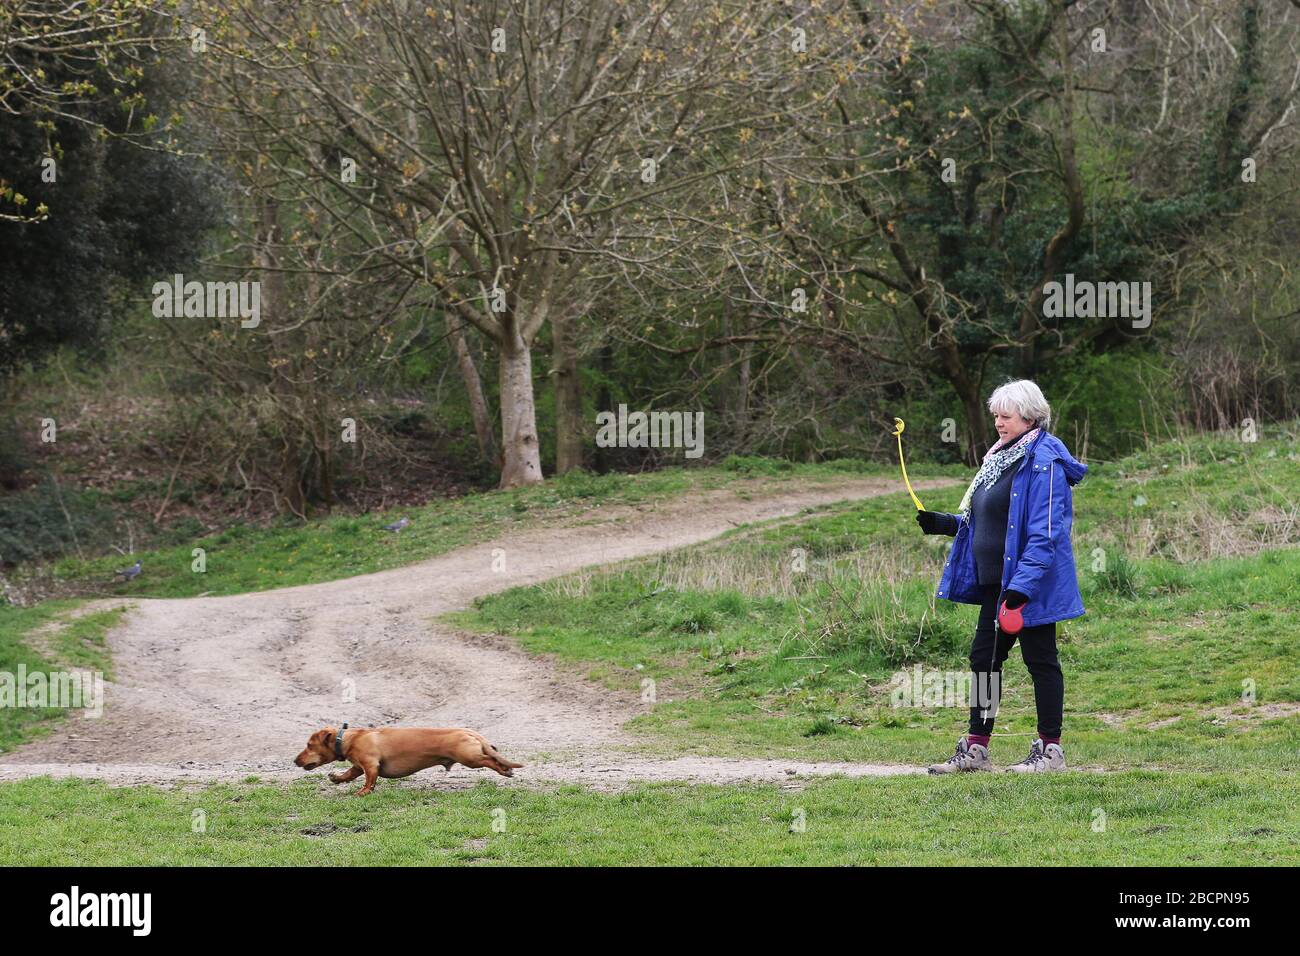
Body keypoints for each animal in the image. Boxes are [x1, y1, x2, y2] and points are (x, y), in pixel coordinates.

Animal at [292, 728, 520, 796]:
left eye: (309, 745)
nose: (295, 761)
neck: (349, 738)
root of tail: (468, 731)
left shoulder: (370, 765)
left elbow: (369, 780)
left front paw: (363, 792)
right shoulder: (358, 766)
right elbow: (349, 774)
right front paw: (337, 778)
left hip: (470, 758)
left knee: (490, 759)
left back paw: (504, 769)